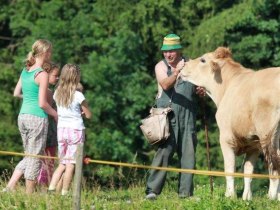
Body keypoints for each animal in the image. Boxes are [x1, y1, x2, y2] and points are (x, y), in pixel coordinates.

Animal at [180, 46, 280, 201]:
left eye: (203, 59)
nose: (183, 65)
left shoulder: (226, 137)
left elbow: (229, 167)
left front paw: (230, 195)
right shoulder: (253, 144)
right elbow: (248, 171)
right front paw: (246, 198)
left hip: (268, 136)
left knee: (274, 165)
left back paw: (272, 197)